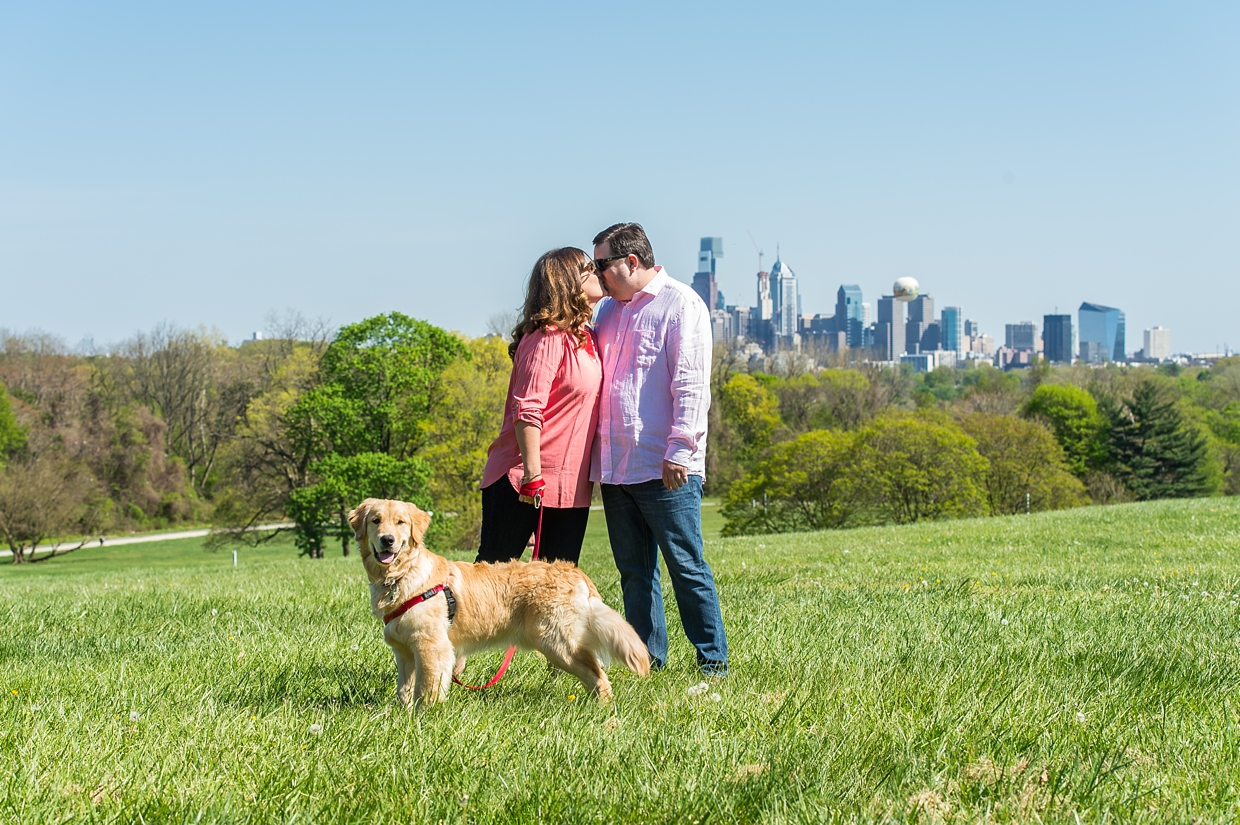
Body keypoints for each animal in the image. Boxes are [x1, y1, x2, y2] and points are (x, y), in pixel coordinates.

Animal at [349, 498, 649, 704]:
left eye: (401, 522)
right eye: (376, 520)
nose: (387, 540)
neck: (402, 575)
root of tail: (573, 570)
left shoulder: (431, 646)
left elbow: (427, 689)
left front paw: (423, 719)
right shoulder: (403, 652)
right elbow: (404, 690)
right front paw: (403, 715)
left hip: (556, 642)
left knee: (598, 675)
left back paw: (604, 712)